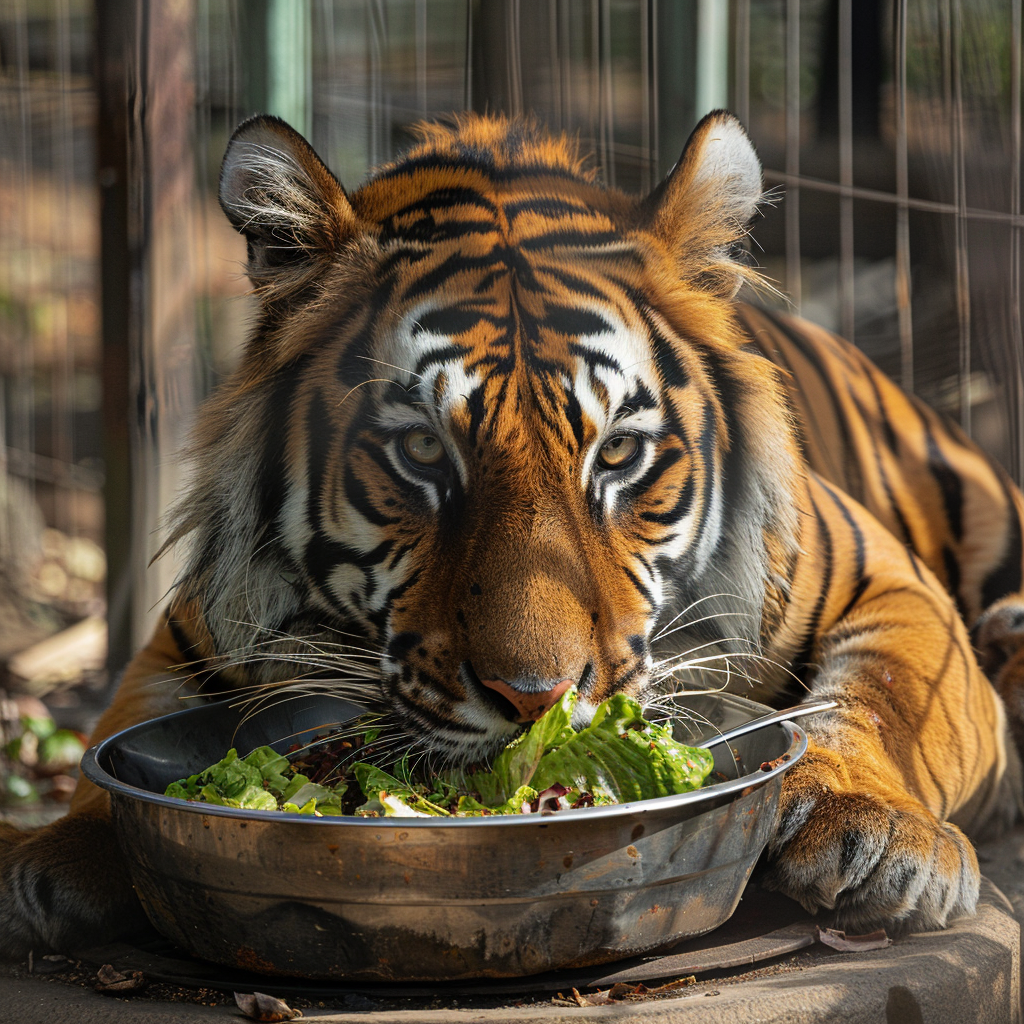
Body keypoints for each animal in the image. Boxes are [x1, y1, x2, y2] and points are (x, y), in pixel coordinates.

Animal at [2, 112, 1024, 958]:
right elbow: (111, 752)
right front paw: (49, 856)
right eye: (422, 448)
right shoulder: (188, 641)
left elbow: (885, 700)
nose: (536, 701)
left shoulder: (887, 583)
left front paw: (873, 836)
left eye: (618, 452)